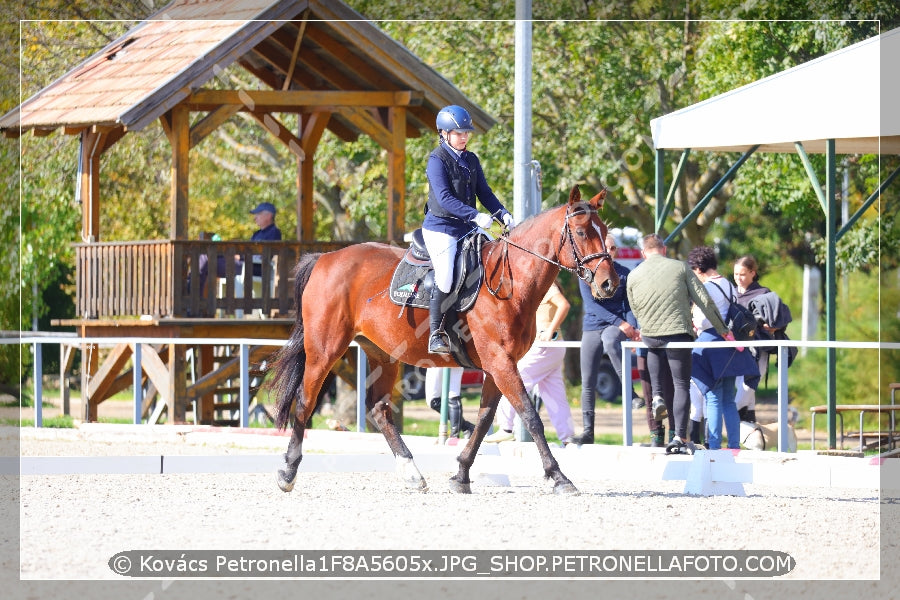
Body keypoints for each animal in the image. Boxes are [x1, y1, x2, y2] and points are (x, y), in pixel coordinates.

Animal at [272, 185, 620, 494]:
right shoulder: (500, 361)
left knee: (378, 409)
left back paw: (411, 473)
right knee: (305, 401)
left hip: (383, 354)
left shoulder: (498, 365)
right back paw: (288, 472)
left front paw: (461, 475)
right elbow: (531, 417)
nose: (609, 285)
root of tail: (325, 258)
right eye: (581, 232)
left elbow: (483, 420)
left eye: (605, 231)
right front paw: (559, 477)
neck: (509, 283)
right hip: (325, 349)